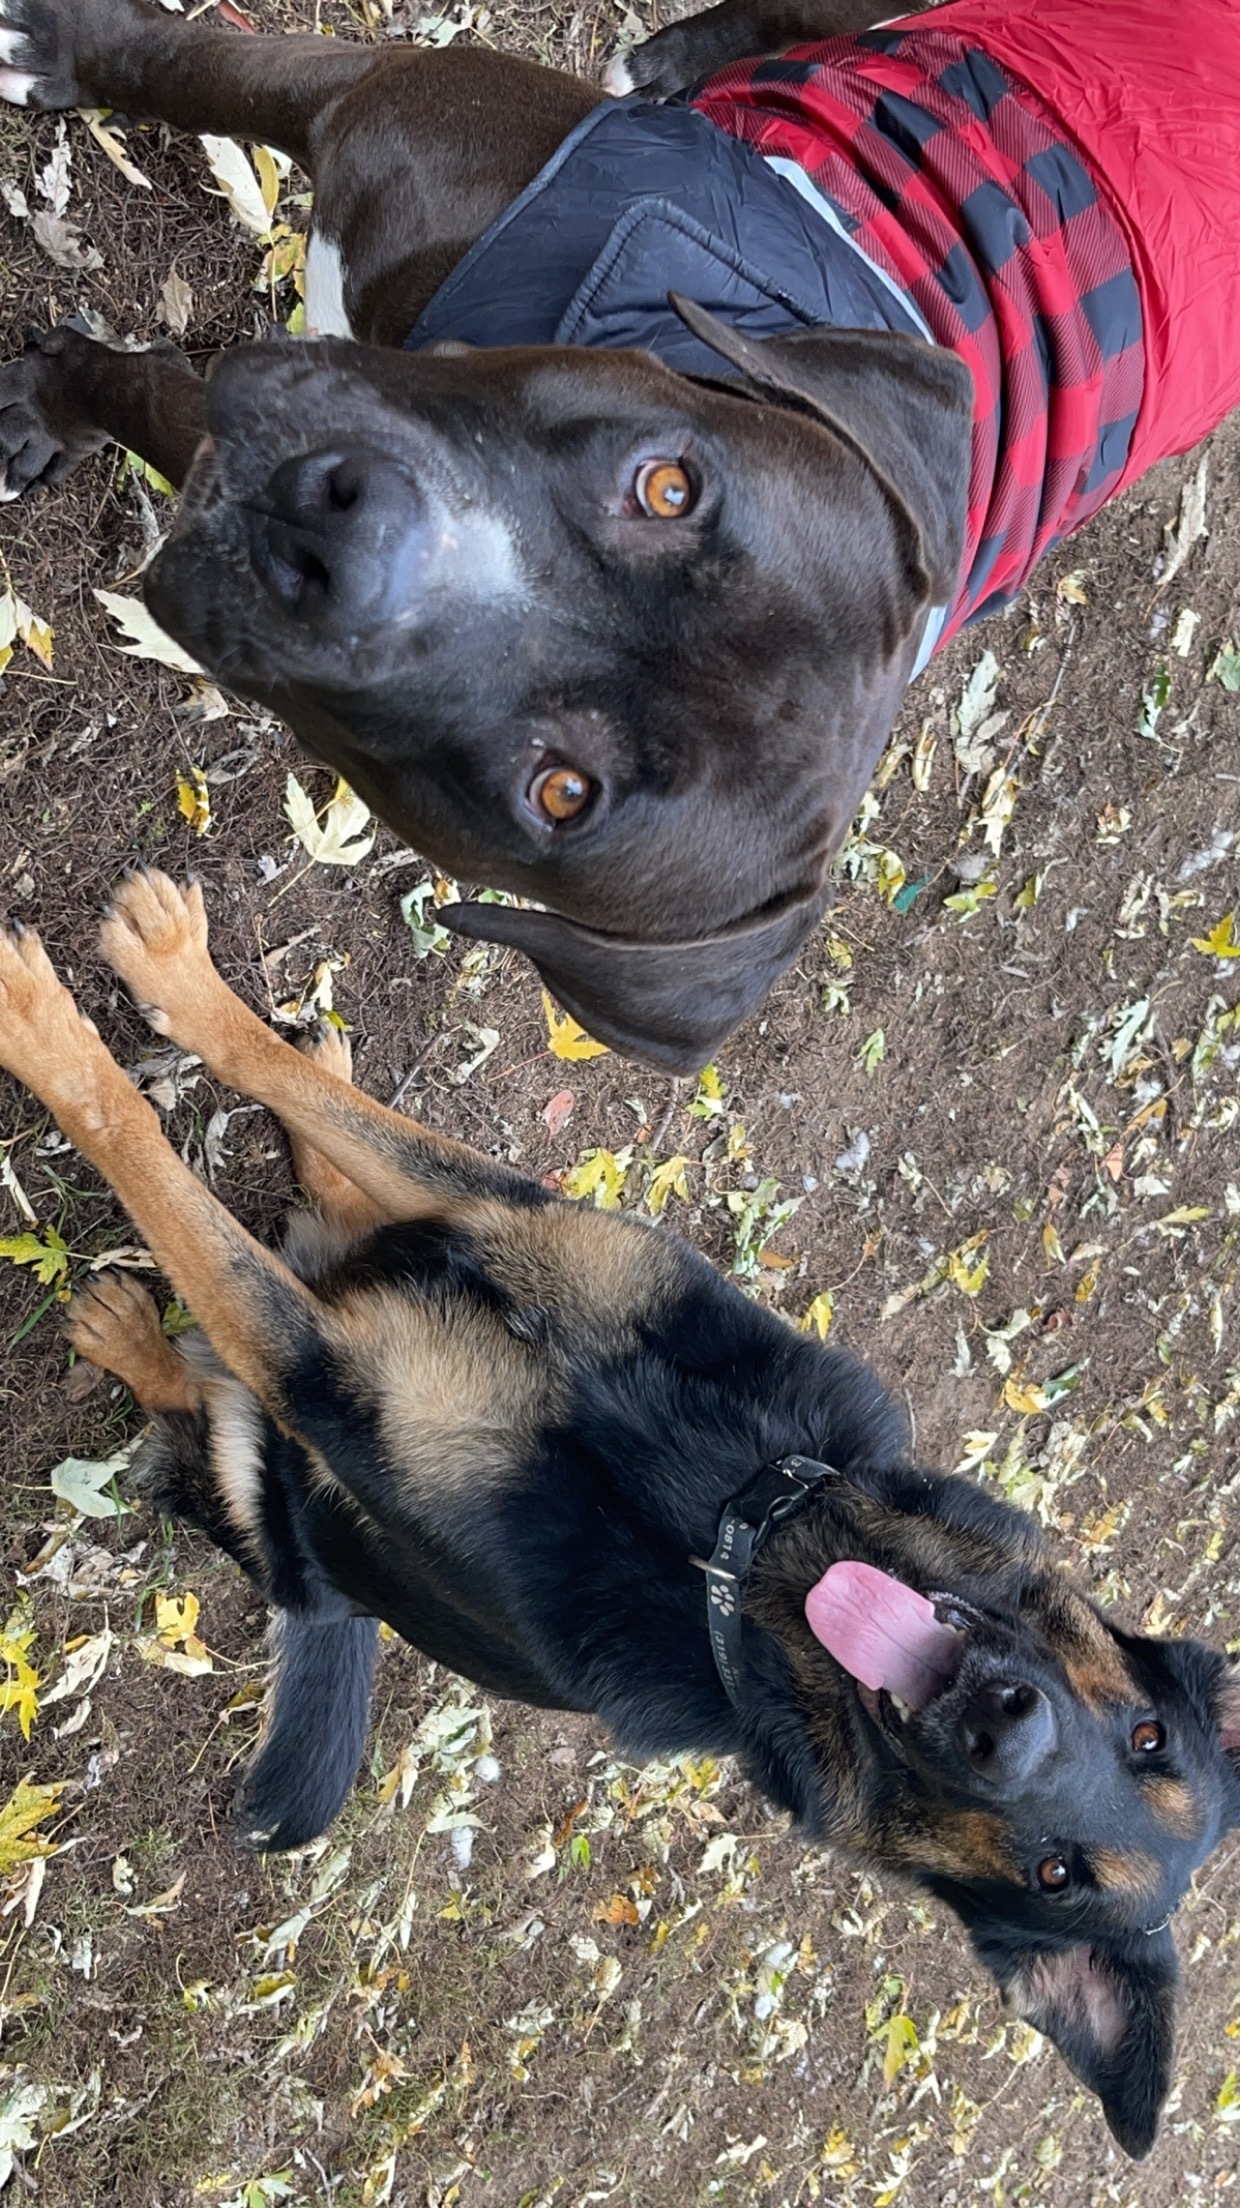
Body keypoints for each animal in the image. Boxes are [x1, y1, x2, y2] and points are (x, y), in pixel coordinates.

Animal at [2, 865, 1235, 2155]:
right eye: (1146, 1736)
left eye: (1057, 1876)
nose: (1007, 1727)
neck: (731, 1526)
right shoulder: (505, 1215)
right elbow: (297, 1095)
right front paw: (184, 987)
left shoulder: (324, 1383)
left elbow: (159, 1176)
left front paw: (35, 1024)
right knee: (332, 1182)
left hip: (272, 1485)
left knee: (203, 1402)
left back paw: (132, 1338)